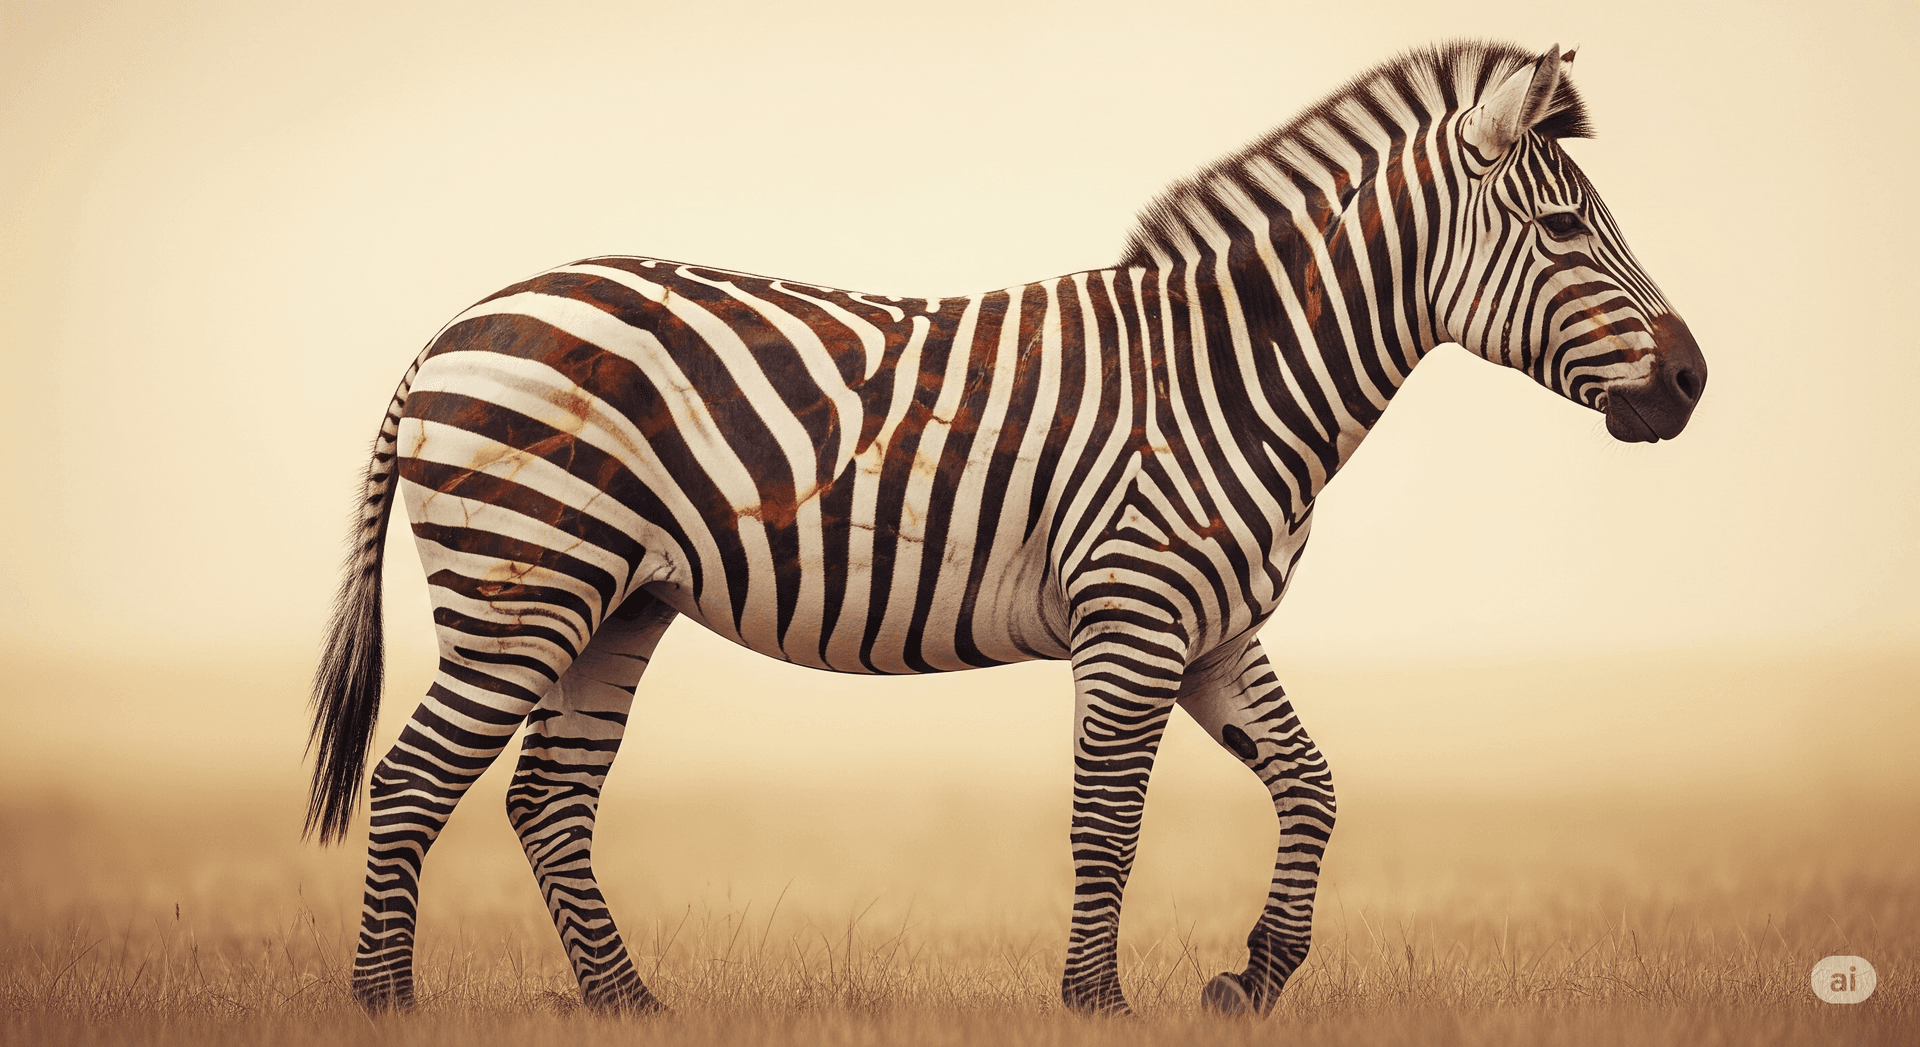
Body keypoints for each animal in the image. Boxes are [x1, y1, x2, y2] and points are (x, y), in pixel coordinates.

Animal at [306, 40, 1706, 1017]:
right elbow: (1110, 816)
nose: (1695, 383)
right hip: (525, 580)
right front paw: (1097, 1004)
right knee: (414, 780)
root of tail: (459, 322)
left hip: (618, 600)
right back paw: (390, 1007)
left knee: (547, 798)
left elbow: (1310, 786)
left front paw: (1252, 978)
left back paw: (629, 1007)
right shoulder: (1136, 614)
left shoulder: (1215, 628)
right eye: (1567, 228)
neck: (1234, 375)